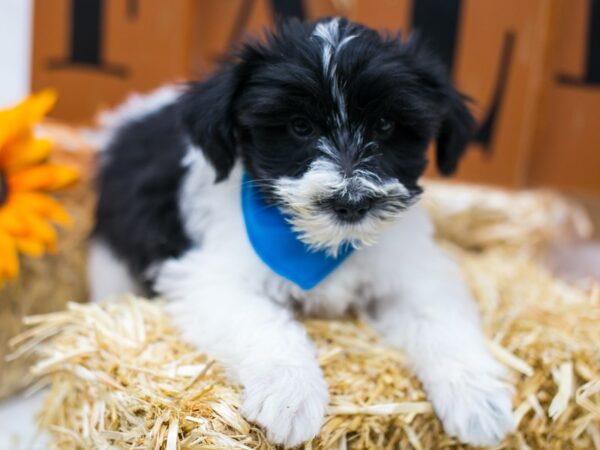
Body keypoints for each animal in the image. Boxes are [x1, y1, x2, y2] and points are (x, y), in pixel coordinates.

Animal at [91, 16, 512, 446]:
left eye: (384, 124)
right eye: (299, 126)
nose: (351, 202)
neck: (324, 246)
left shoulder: (411, 271)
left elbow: (438, 317)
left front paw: (479, 398)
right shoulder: (210, 276)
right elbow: (260, 320)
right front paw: (290, 395)